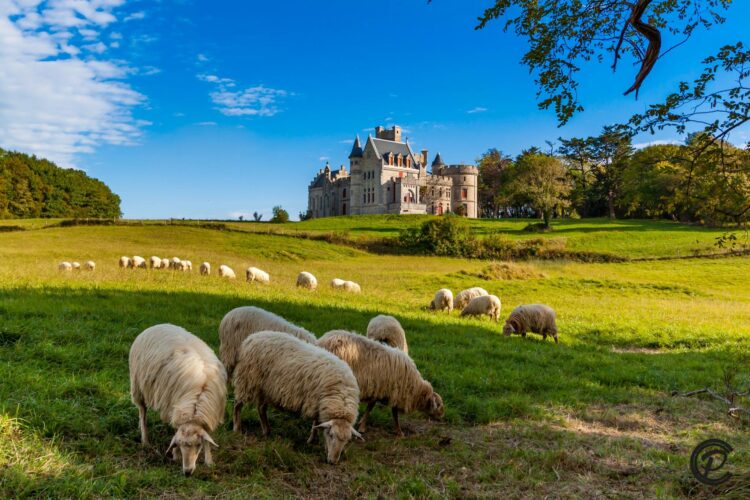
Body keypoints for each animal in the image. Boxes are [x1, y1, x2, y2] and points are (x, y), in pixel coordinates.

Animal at [129, 324, 226, 476]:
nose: (187, 472)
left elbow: (207, 438)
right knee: (142, 411)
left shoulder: (209, 415)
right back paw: (145, 439)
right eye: (180, 445)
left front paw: (209, 461)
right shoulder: (174, 407)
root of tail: (157, 325)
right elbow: (175, 430)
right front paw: (175, 455)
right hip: (138, 386)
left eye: (198, 445)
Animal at [235, 332, 364, 464]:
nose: (333, 462)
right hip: (247, 379)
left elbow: (317, 423)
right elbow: (316, 423)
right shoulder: (314, 402)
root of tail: (252, 337)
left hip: (264, 387)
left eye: (347, 441)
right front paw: (312, 440)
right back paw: (237, 428)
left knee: (261, 408)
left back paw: (267, 431)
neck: (340, 394)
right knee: (238, 404)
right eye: (331, 435)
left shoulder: (319, 404)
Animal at [316, 330, 444, 436]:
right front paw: (399, 432)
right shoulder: (388, 391)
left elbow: (375, 408)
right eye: (438, 404)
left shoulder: (382, 391)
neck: (414, 387)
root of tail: (321, 340)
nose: (443, 415)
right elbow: (390, 412)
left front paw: (362, 423)